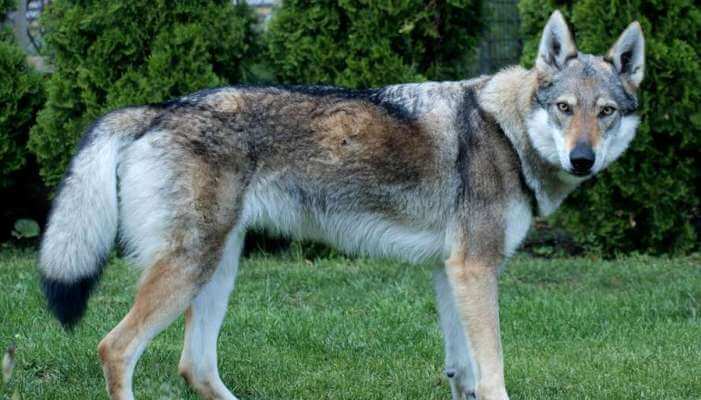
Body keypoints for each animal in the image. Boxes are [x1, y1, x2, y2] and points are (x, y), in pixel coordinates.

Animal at [37, 12, 640, 400]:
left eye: (605, 112)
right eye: (564, 108)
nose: (582, 158)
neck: (506, 132)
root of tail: (159, 108)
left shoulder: (451, 272)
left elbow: (463, 373)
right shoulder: (474, 269)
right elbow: (491, 375)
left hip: (218, 269)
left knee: (195, 368)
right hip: (191, 268)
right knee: (116, 349)